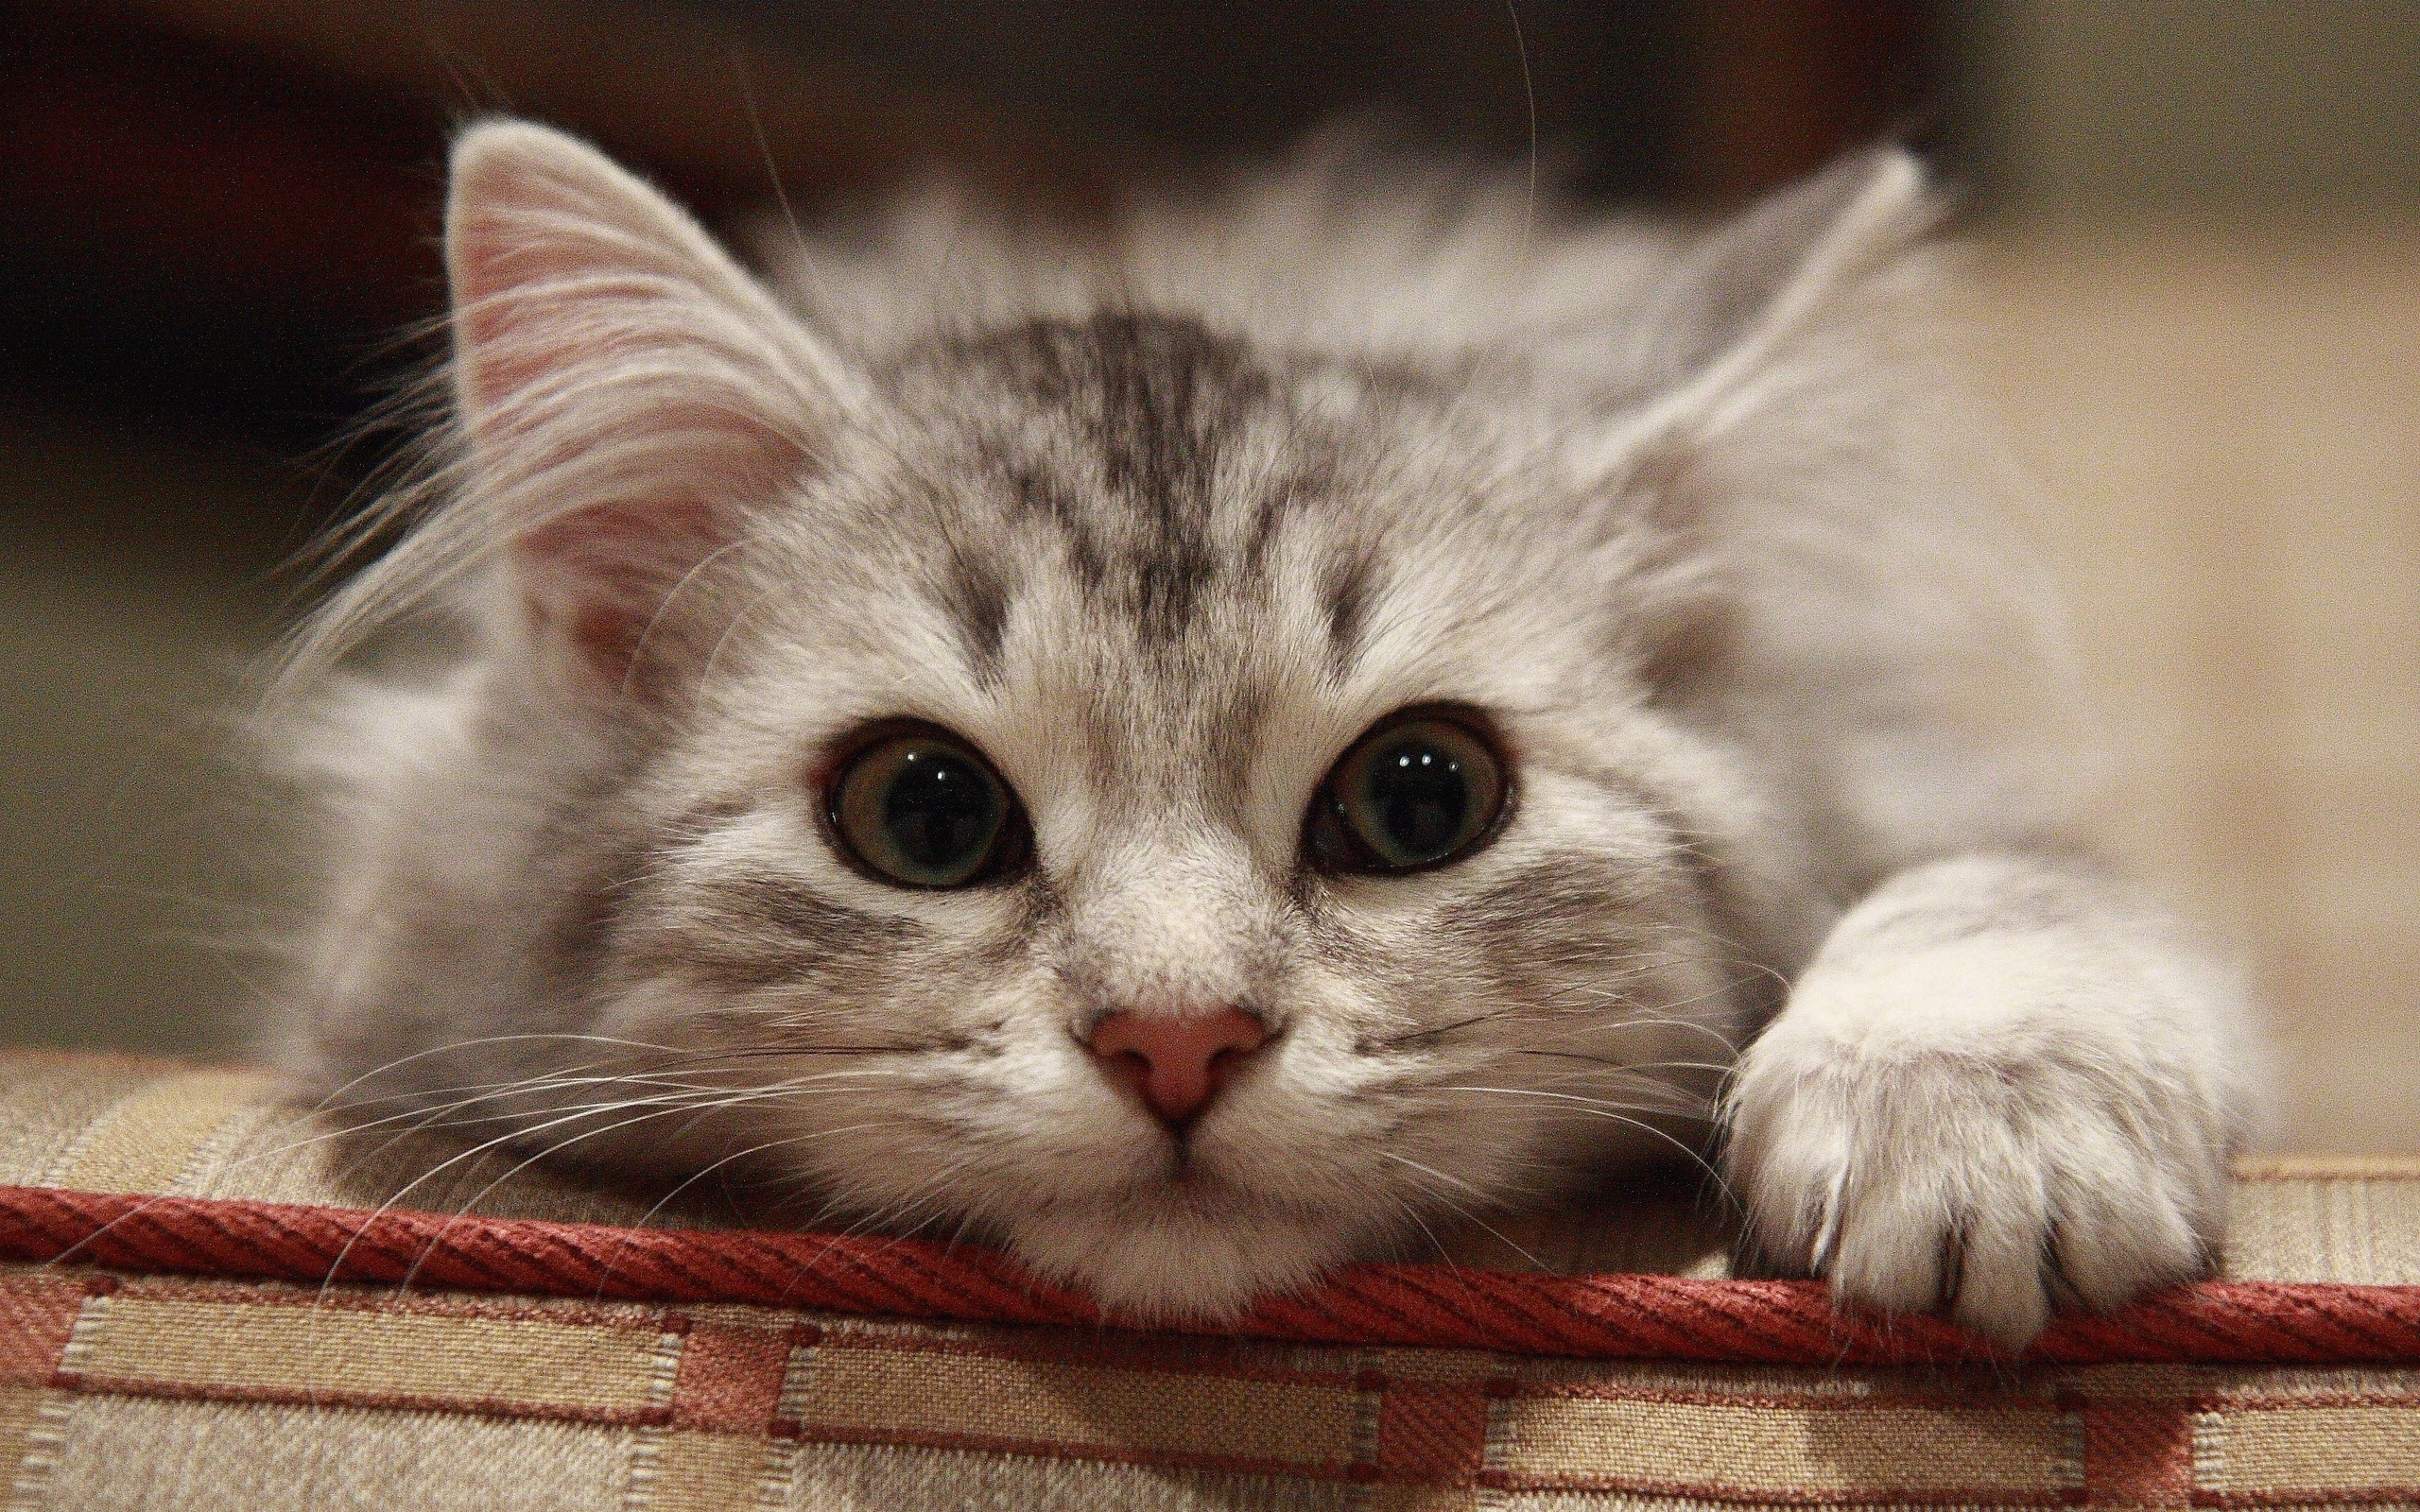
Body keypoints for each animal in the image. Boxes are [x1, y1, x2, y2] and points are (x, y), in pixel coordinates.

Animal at [278, 121, 2265, 1345]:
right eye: (925, 816)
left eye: (1421, 799)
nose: (1177, 1042)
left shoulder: (1912, 782)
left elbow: (2001, 889)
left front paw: (1981, 1119)